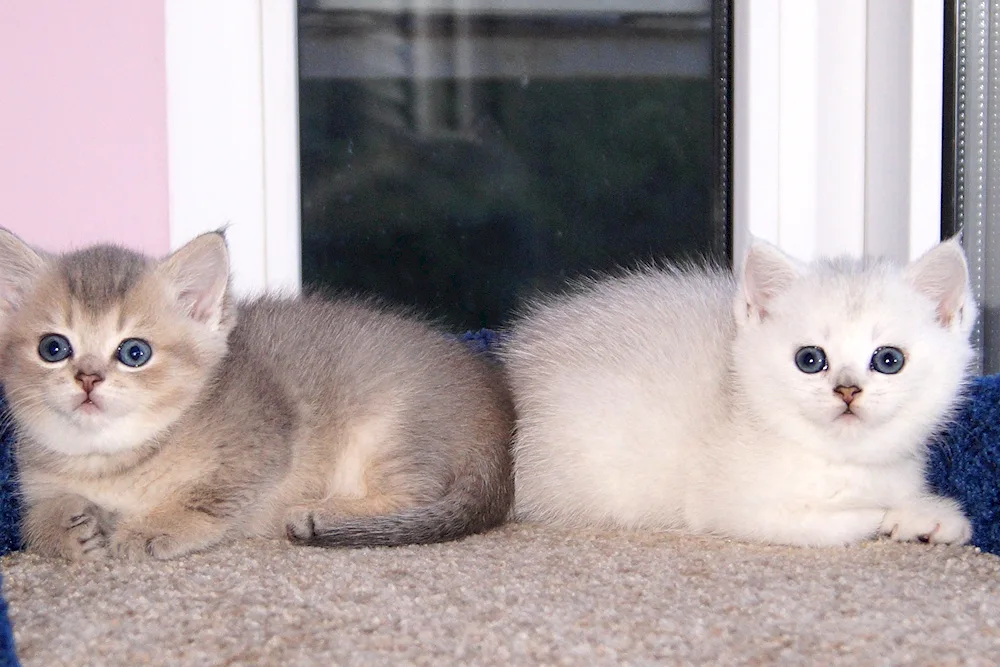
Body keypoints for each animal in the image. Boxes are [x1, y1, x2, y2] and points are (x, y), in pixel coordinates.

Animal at [0, 228, 516, 560]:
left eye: (134, 352)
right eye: (53, 348)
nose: (87, 378)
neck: (108, 458)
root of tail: (499, 413)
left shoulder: (265, 441)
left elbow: (207, 496)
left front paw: (150, 528)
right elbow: (31, 520)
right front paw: (65, 531)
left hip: (395, 428)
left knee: (414, 493)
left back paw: (322, 514)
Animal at [504, 240, 972, 548]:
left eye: (889, 359)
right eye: (810, 359)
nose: (847, 390)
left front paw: (925, 516)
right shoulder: (735, 507)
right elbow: (848, 520)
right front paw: (907, 515)